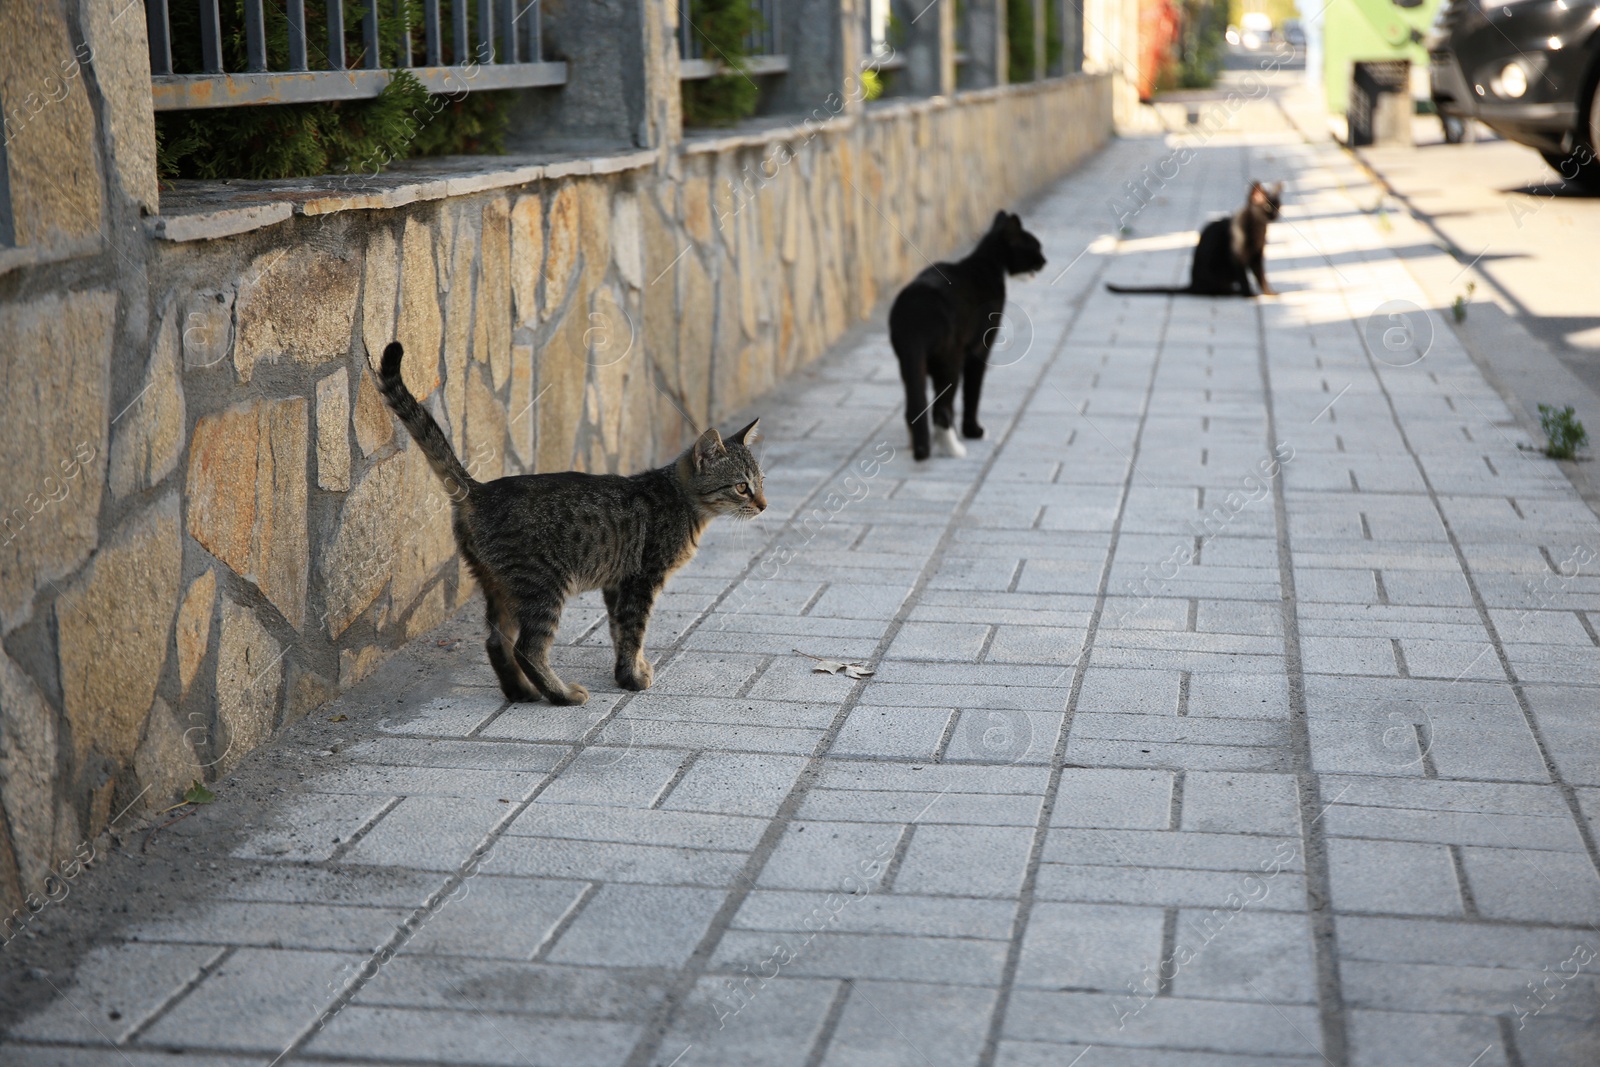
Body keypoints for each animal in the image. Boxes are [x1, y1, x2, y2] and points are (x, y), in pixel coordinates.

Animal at [380, 343, 768, 710]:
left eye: (762, 482)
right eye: (741, 487)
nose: (764, 505)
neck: (682, 500)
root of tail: (481, 490)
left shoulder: (617, 583)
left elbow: (620, 631)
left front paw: (630, 671)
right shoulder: (642, 579)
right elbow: (634, 631)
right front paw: (632, 678)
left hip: (500, 586)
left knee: (495, 641)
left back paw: (521, 692)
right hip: (544, 585)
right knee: (527, 648)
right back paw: (561, 694)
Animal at [889, 212, 1049, 463]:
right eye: (1035, 247)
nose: (1045, 261)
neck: (987, 263)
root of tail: (916, 310)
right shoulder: (980, 349)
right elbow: (973, 392)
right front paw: (973, 431)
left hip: (910, 362)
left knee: (914, 406)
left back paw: (919, 444)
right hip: (950, 362)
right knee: (942, 410)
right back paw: (954, 449)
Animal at [1107, 179, 1280, 295]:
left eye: (1278, 206)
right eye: (1267, 207)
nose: (1276, 215)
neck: (1258, 230)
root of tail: (1193, 284)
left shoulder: (1257, 256)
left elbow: (1261, 276)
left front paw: (1269, 293)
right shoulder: (1238, 257)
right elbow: (1244, 277)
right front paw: (1249, 294)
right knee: (1216, 290)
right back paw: (1234, 292)